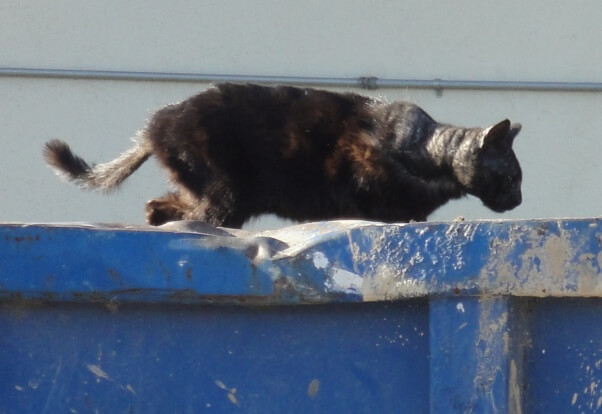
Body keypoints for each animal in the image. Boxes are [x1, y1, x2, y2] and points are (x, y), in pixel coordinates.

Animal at [43, 83, 520, 228]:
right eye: (514, 178)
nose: (518, 200)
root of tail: (156, 124)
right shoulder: (363, 181)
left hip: (218, 193)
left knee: (163, 204)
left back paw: (156, 218)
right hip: (226, 192)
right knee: (199, 214)